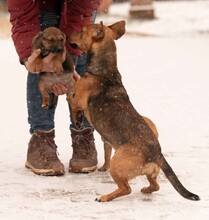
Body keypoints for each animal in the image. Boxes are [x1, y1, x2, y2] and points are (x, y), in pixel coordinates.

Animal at [68, 21, 200, 202]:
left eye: (81, 31)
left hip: (117, 164)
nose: (67, 36)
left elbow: (71, 100)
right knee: (155, 185)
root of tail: (156, 153)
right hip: (150, 171)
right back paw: (146, 189)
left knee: (126, 188)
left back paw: (106, 197)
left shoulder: (76, 99)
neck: (105, 70)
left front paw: (77, 119)